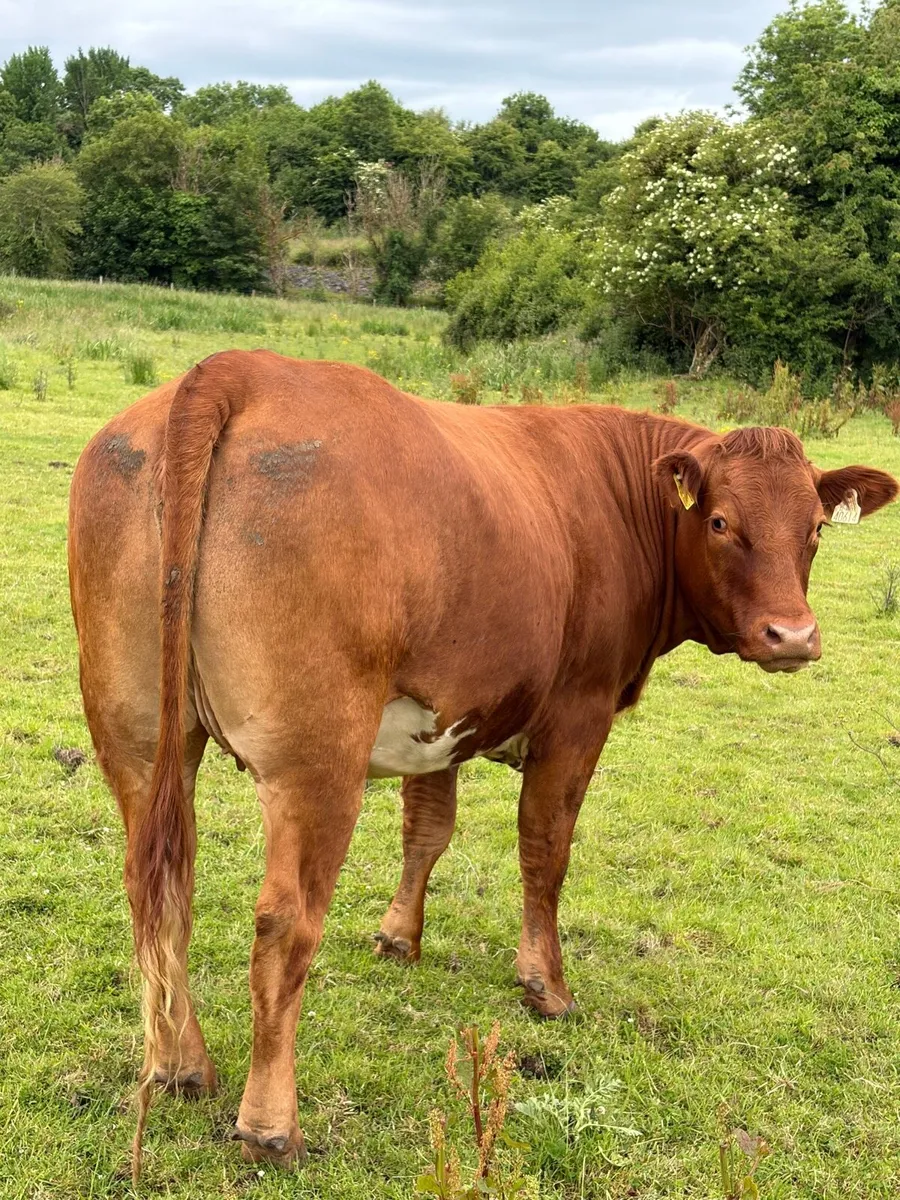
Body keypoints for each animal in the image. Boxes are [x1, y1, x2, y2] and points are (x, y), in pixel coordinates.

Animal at [67, 349, 897, 1173]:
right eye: (721, 521)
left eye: (816, 528)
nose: (793, 636)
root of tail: (238, 368)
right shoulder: (577, 716)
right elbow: (546, 850)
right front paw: (545, 984)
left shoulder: (443, 720)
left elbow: (427, 831)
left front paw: (399, 938)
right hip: (317, 759)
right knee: (283, 921)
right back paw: (270, 1122)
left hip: (139, 734)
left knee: (157, 888)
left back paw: (180, 1064)